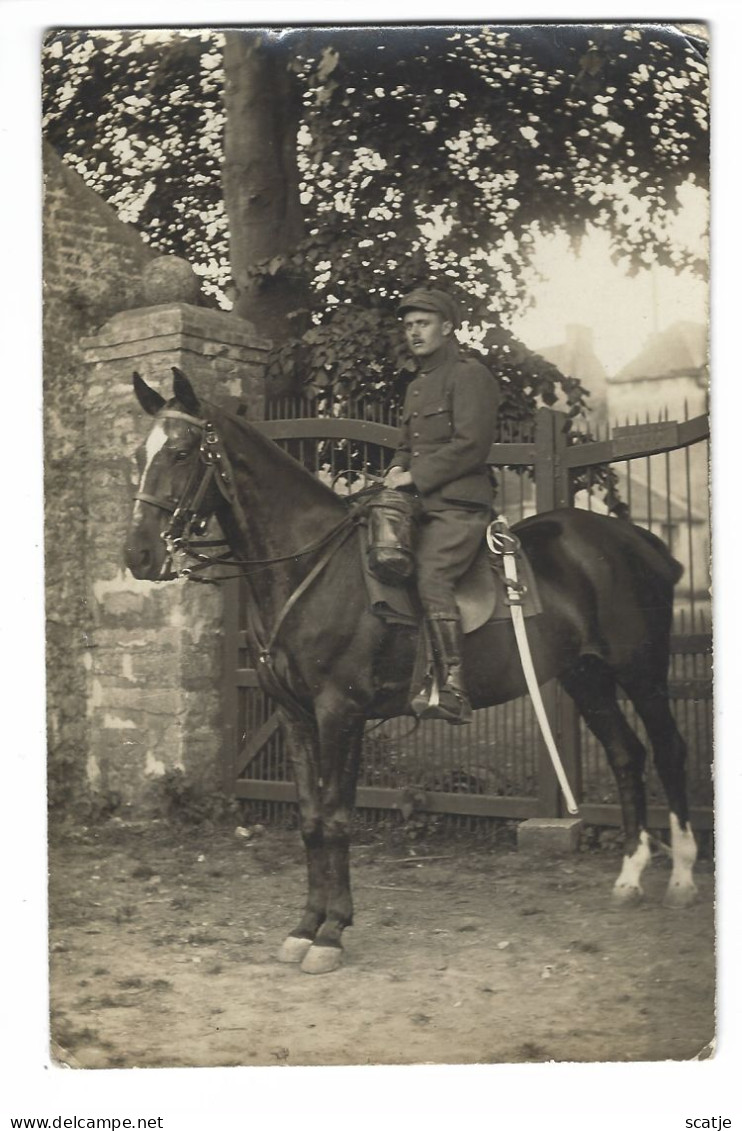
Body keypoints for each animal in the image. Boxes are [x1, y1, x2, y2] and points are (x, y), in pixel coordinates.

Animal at [124, 370, 696, 972]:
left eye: (182, 452)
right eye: (140, 453)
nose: (138, 554)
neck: (308, 566)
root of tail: (640, 541)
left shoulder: (341, 712)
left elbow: (336, 817)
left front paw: (332, 931)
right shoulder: (295, 715)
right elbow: (310, 820)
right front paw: (305, 926)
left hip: (642, 673)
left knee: (668, 751)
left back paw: (681, 877)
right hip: (587, 678)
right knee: (626, 755)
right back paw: (630, 877)